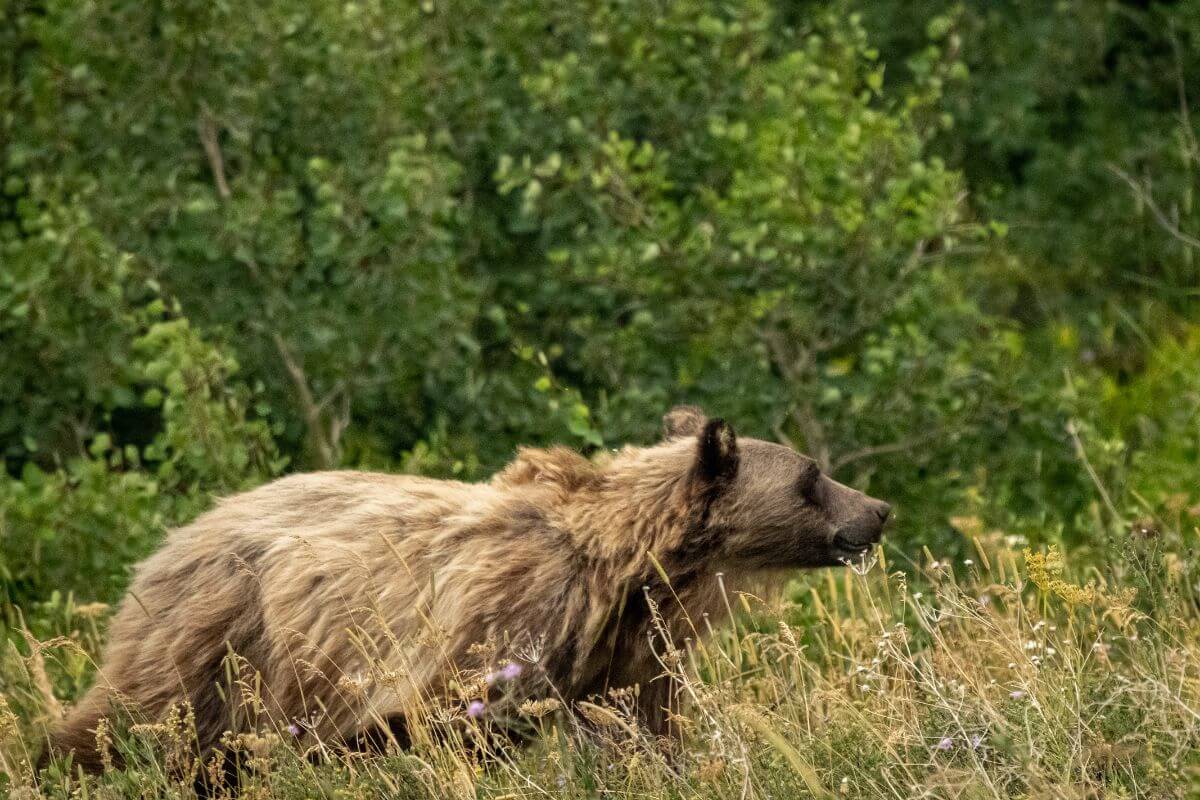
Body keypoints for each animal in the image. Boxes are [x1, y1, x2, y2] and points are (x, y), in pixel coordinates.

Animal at [43, 405, 890, 775]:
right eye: (813, 476)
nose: (878, 510)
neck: (630, 568)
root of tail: (173, 538)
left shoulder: (625, 648)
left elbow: (651, 723)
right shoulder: (501, 630)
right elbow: (473, 726)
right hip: (213, 636)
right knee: (128, 719)